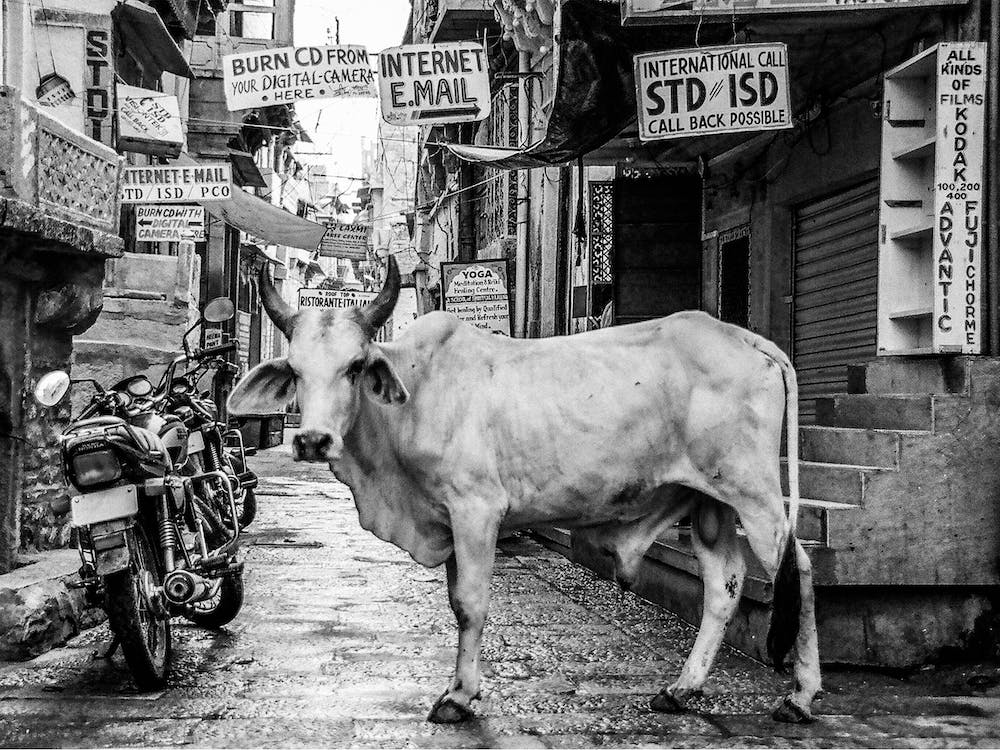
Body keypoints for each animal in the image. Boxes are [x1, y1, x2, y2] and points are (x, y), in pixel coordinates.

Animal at [229, 259, 821, 725]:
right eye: (296, 370)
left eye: (354, 368)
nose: (311, 439)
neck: (415, 395)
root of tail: (744, 338)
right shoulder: (448, 519)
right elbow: (456, 602)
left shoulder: (475, 510)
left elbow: (470, 604)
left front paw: (459, 698)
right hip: (709, 501)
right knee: (725, 583)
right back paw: (682, 689)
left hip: (756, 494)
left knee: (800, 569)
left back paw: (800, 697)